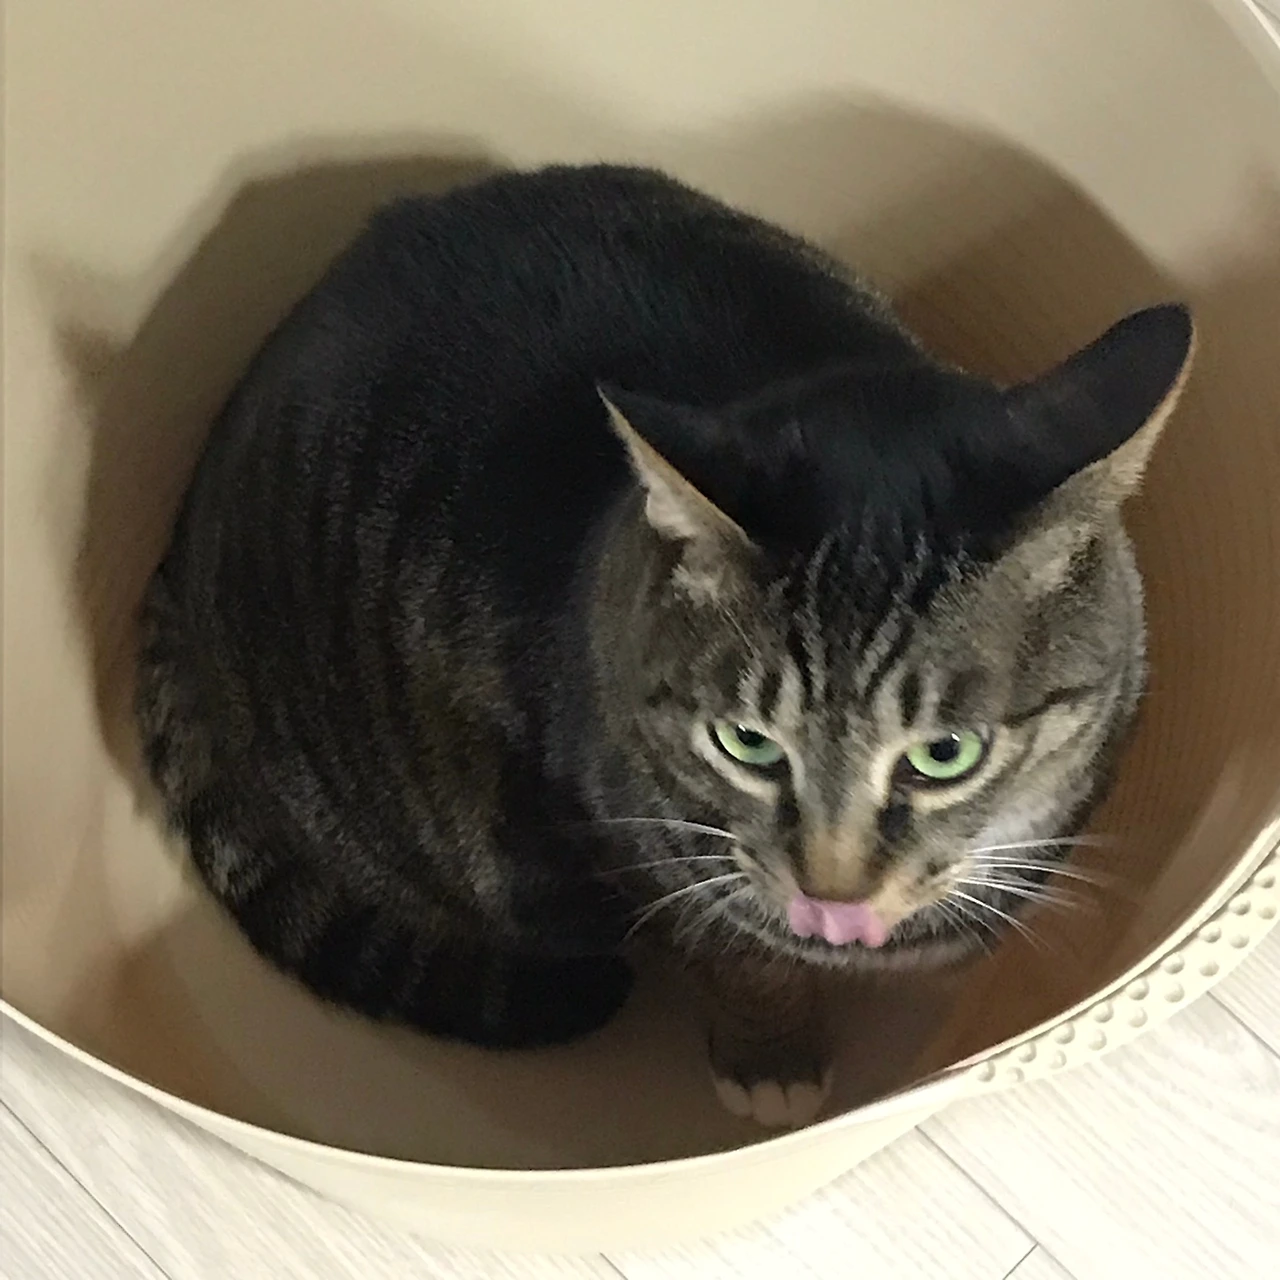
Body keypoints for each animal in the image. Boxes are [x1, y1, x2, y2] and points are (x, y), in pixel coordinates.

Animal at [136, 164, 1194, 1129]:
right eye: (747, 743)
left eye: (945, 753)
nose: (831, 889)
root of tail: (181, 545)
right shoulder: (627, 837)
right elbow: (733, 951)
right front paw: (772, 1056)